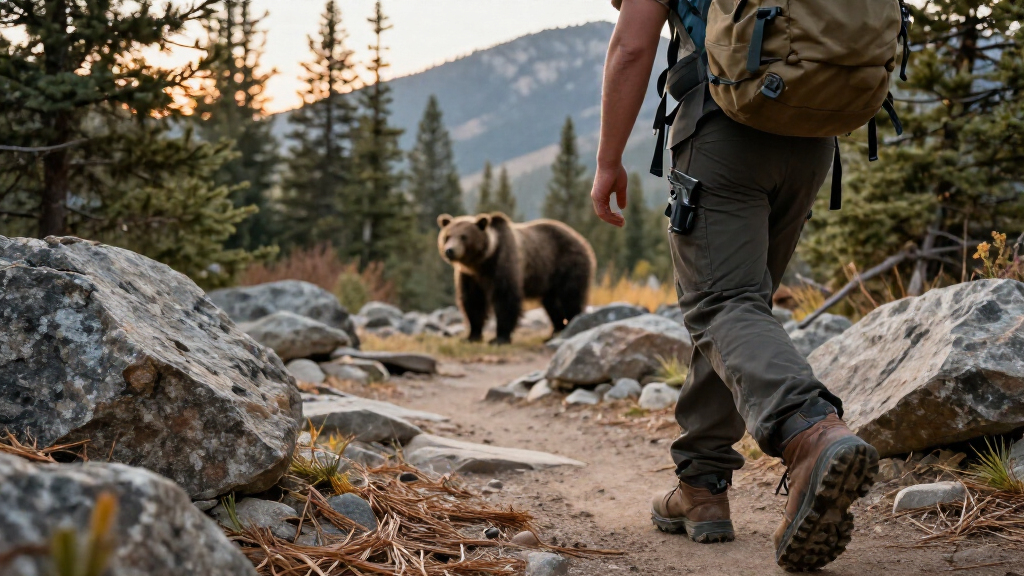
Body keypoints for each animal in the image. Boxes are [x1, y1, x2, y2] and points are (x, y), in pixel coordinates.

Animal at [437, 212, 596, 344]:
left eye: (464, 236)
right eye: (447, 236)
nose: (449, 250)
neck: (482, 262)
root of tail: (581, 239)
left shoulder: (504, 263)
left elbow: (506, 299)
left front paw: (499, 338)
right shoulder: (470, 277)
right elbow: (473, 301)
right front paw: (471, 336)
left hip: (568, 265)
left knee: (571, 298)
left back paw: (572, 326)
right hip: (548, 278)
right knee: (552, 303)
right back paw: (554, 333)